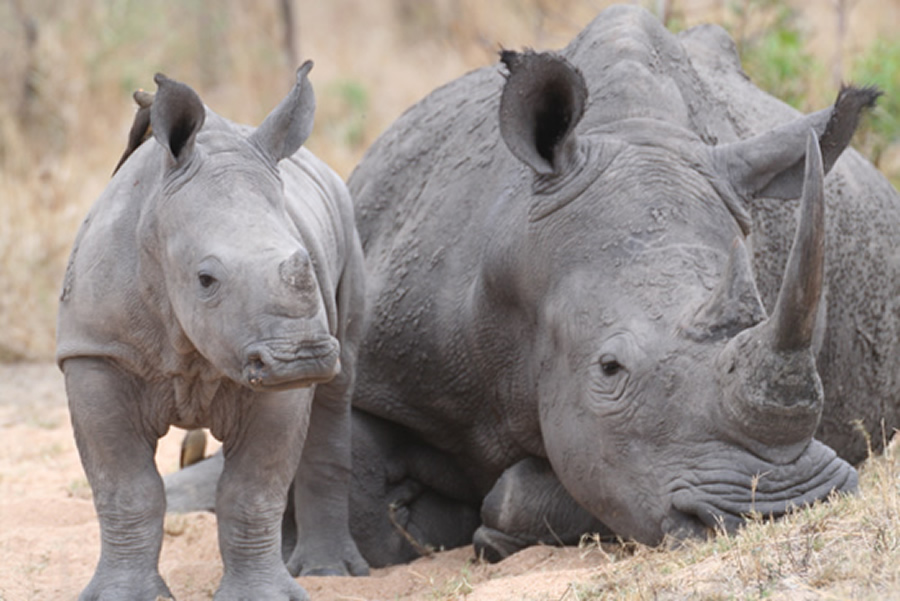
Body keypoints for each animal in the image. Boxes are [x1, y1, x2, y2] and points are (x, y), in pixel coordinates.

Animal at [57, 62, 368, 600]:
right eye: (205, 279)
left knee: (339, 385)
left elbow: (253, 490)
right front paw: (126, 595)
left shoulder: (276, 374)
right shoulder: (96, 351)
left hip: (347, 222)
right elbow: (124, 486)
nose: (302, 357)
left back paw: (327, 573)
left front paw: (260, 595)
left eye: (307, 263)